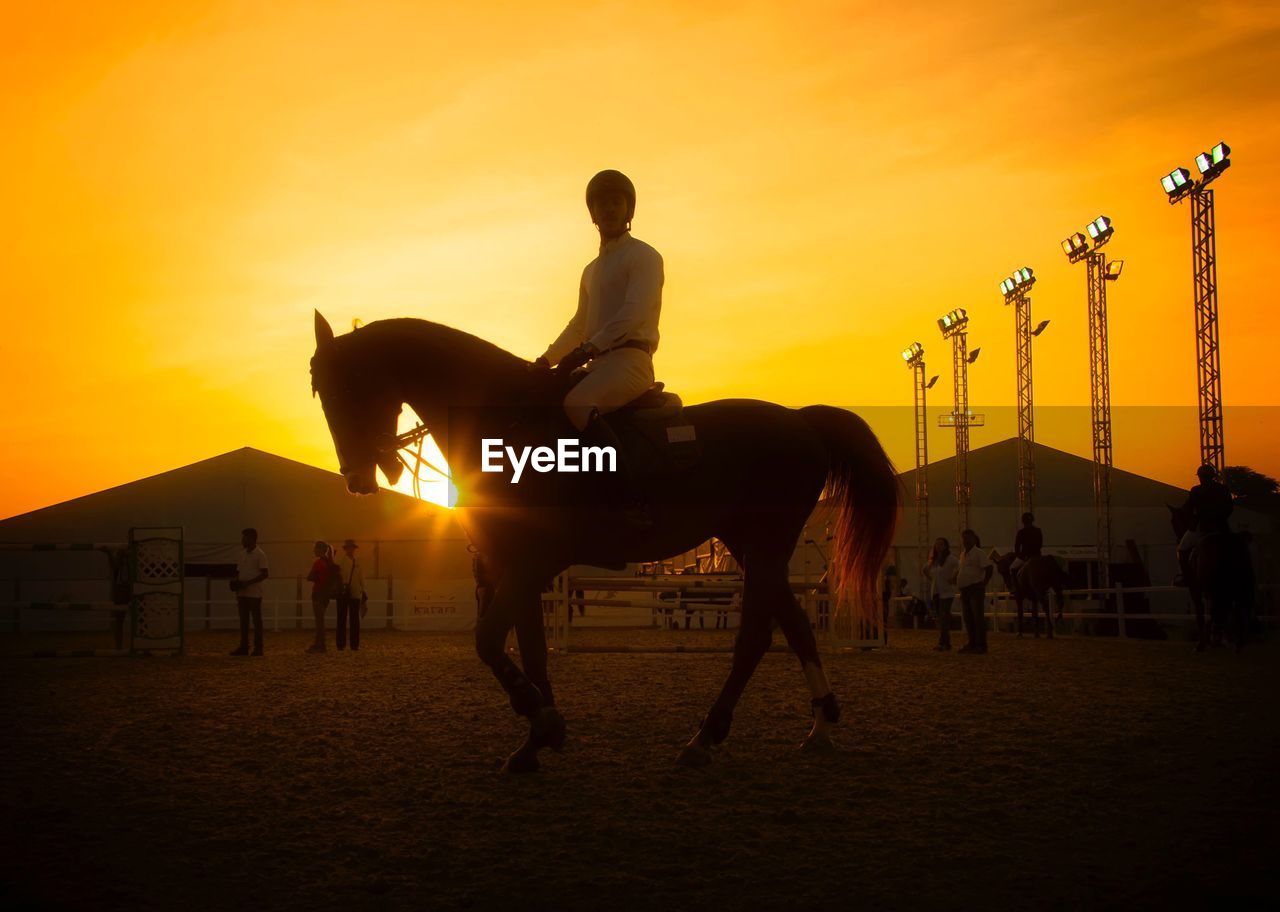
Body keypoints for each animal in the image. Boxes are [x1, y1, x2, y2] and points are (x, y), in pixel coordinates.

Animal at [309, 313, 901, 768]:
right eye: (319, 391)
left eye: (346, 386)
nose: (357, 478)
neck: (505, 425)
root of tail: (801, 421)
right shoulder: (514, 565)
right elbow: (530, 647)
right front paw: (537, 737)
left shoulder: (530, 562)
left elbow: (489, 641)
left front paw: (541, 720)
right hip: (754, 549)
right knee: (794, 626)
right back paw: (818, 727)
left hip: (764, 548)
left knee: (756, 637)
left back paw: (707, 736)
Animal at [1167, 502, 1254, 650]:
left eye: (1174, 521)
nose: (1178, 540)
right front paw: (1215, 638)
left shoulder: (1195, 588)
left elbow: (1200, 611)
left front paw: (1202, 643)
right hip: (1237, 584)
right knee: (1235, 608)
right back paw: (1237, 642)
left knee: (1224, 608)